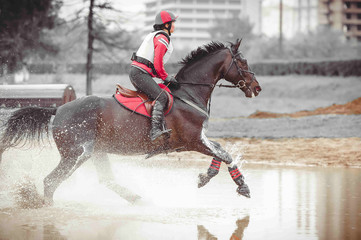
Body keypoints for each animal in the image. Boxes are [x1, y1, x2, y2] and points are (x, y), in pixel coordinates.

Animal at [0, 39, 258, 206]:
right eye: (243, 63)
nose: (257, 88)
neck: (188, 94)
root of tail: (59, 108)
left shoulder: (197, 140)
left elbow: (221, 150)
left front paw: (214, 178)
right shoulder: (193, 141)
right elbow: (225, 154)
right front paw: (238, 185)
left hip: (96, 151)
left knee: (105, 179)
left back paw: (137, 198)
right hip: (76, 154)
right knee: (51, 181)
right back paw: (49, 209)